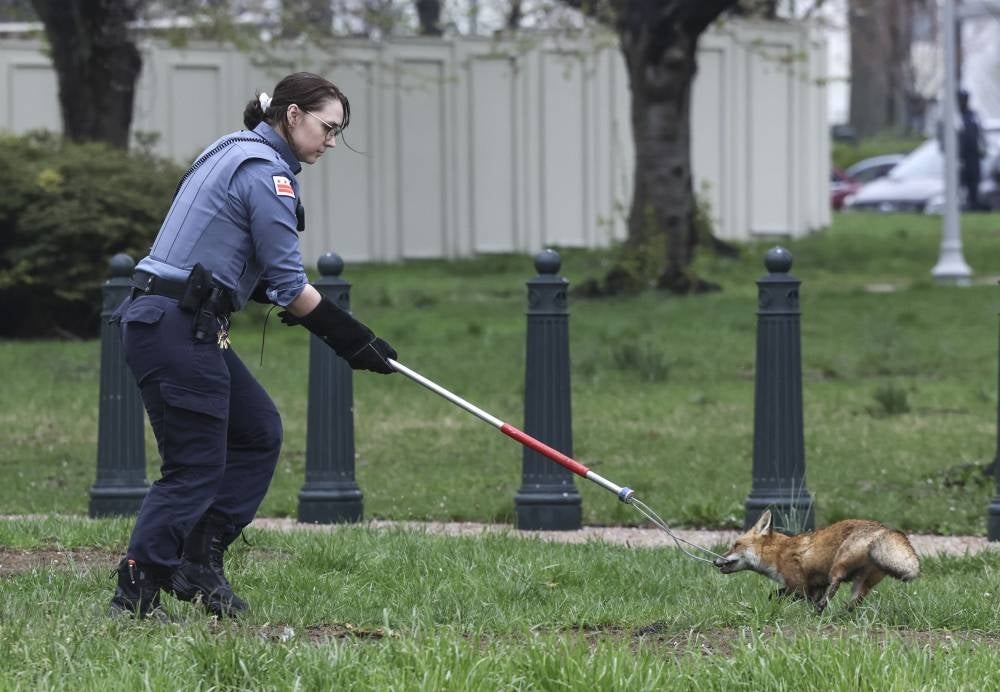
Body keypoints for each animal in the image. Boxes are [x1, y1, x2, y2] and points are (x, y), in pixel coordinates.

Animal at [713, 509, 920, 613]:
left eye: (736, 545)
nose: (715, 561)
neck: (778, 553)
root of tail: (883, 529)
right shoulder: (815, 586)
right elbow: (780, 595)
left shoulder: (799, 586)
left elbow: (779, 595)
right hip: (863, 582)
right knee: (854, 600)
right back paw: (841, 613)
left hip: (839, 563)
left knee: (836, 582)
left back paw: (824, 609)